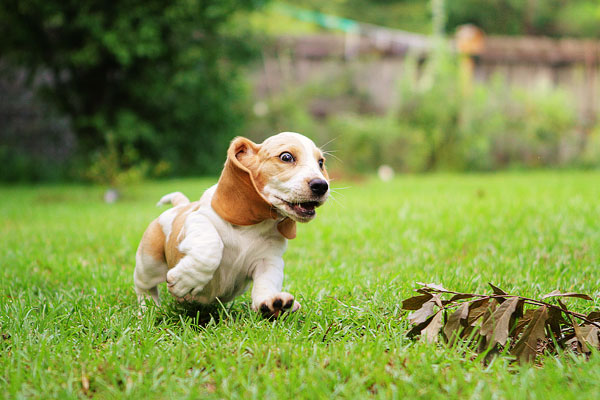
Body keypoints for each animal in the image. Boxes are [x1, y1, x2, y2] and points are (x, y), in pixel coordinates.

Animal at [132, 133, 328, 318]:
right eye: (286, 157)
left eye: (320, 162)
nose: (322, 185)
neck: (254, 224)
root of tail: (180, 205)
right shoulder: (196, 220)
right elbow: (212, 246)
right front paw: (186, 280)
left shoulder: (269, 260)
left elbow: (266, 282)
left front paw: (271, 303)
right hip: (149, 263)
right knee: (143, 286)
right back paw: (147, 309)